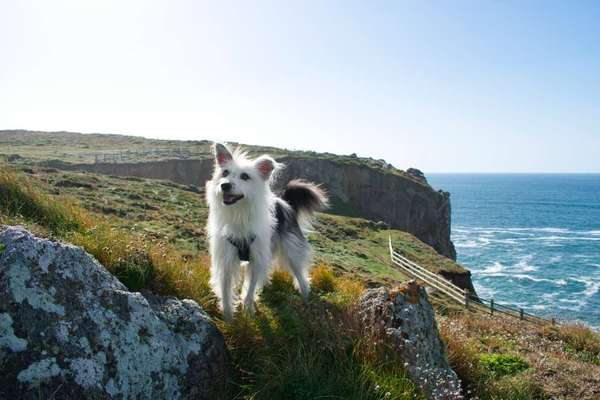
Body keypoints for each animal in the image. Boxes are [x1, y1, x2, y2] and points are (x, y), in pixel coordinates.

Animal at [206, 142, 328, 320]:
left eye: (245, 176)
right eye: (225, 173)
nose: (225, 185)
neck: (239, 213)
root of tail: (285, 203)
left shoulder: (257, 259)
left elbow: (250, 288)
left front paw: (248, 310)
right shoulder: (226, 260)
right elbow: (226, 291)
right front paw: (228, 319)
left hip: (292, 252)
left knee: (301, 275)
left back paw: (306, 298)